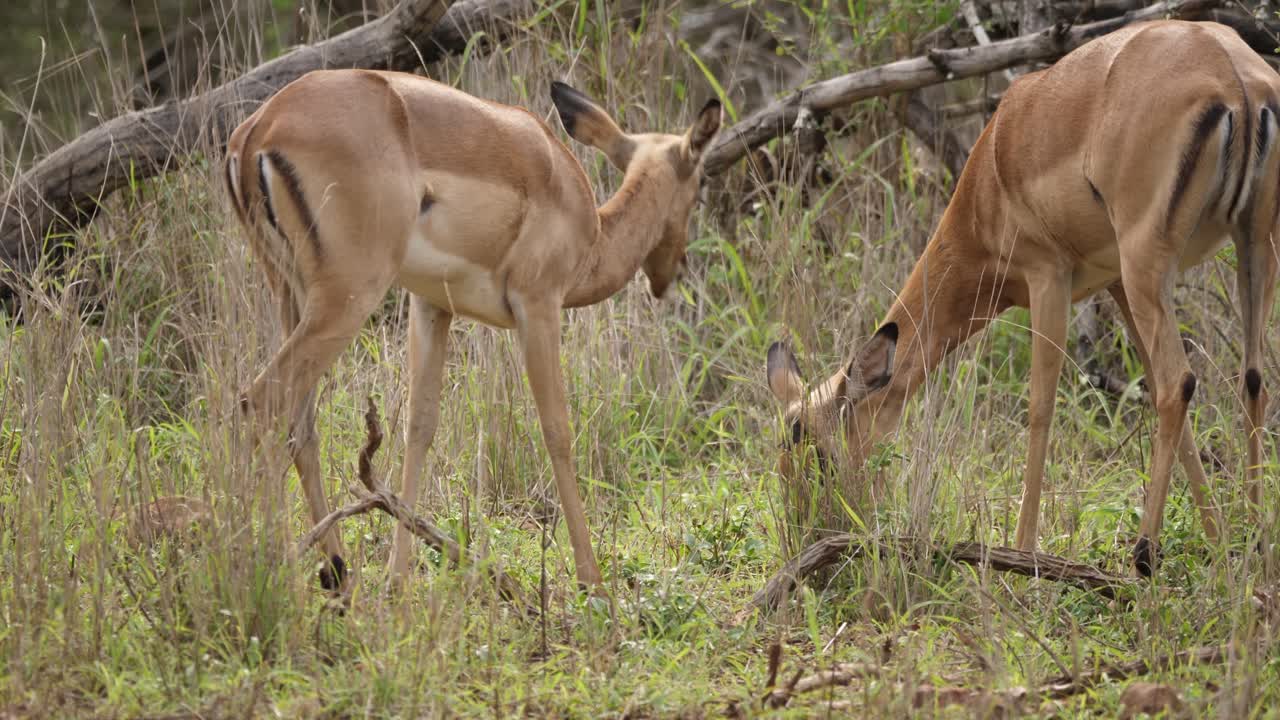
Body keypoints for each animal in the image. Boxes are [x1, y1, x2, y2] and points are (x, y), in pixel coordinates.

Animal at [224, 69, 722, 591]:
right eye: (701, 183)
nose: (669, 275)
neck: (589, 231)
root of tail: (258, 129)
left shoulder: (431, 305)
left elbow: (419, 426)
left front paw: (397, 579)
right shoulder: (538, 304)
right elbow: (557, 431)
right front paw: (593, 582)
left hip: (290, 293)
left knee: (299, 424)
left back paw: (336, 573)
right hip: (348, 296)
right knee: (261, 400)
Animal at [766, 20, 1278, 576]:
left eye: (819, 454)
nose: (813, 531)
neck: (991, 168)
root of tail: (1230, 76)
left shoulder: (1047, 275)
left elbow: (1040, 408)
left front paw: (1023, 553)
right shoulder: (1114, 283)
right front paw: (1218, 539)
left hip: (1152, 261)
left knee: (1176, 384)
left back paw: (1144, 554)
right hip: (1249, 245)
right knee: (1248, 380)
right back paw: (1254, 541)